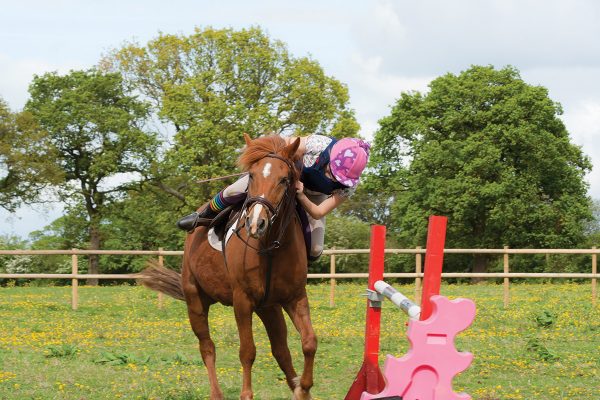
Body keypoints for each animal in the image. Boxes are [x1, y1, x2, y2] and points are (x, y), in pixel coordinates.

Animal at [140, 134, 316, 400]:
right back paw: (216, 393)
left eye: (284, 179)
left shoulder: (294, 298)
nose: (256, 223)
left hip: (268, 308)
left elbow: (308, 342)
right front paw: (247, 394)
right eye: (251, 176)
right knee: (207, 347)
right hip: (196, 302)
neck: (270, 248)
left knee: (280, 350)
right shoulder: (242, 301)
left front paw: (303, 388)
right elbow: (247, 352)